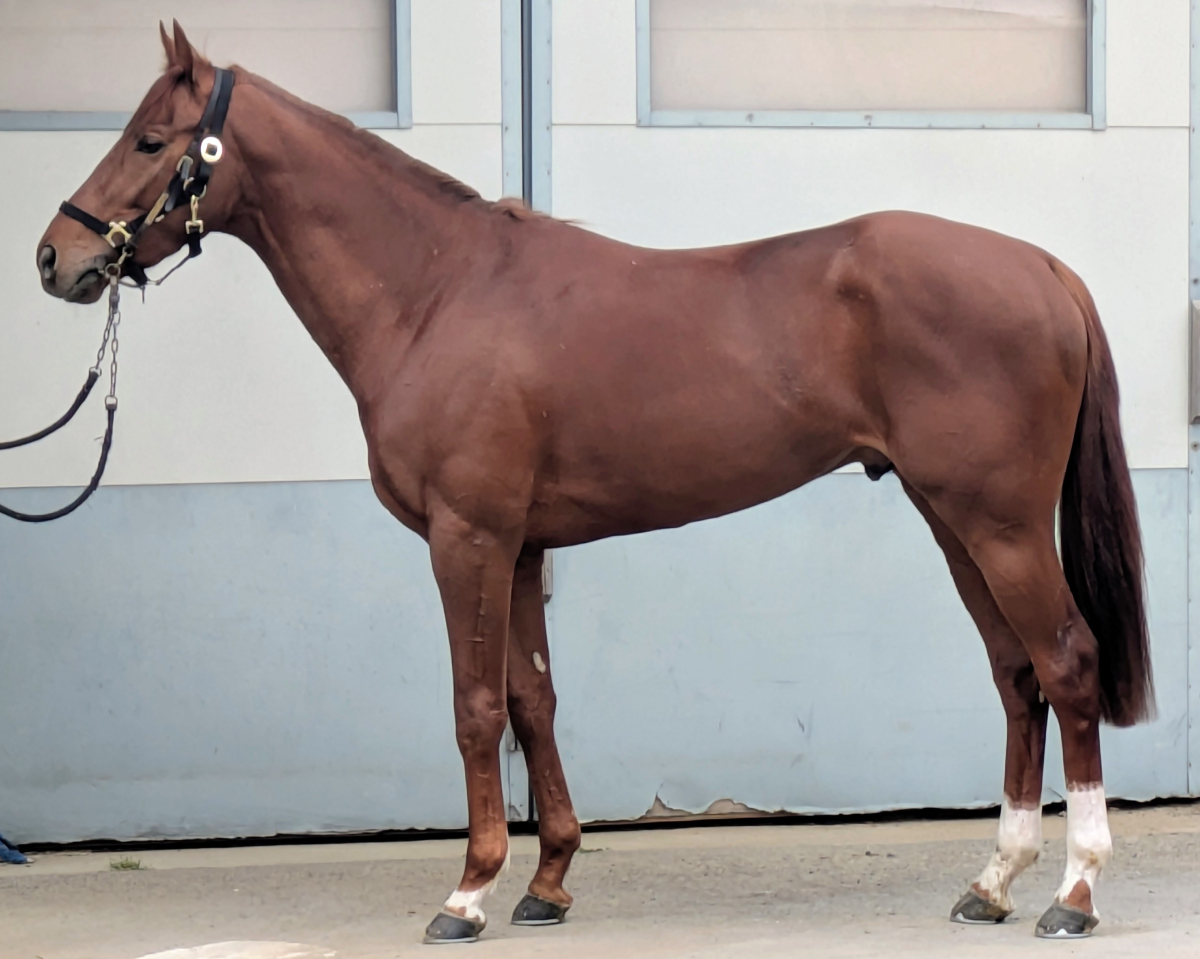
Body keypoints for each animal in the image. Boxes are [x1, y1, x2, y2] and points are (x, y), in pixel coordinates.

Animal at [35, 21, 1152, 944]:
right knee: (1014, 674)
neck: (435, 290)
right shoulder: (523, 545)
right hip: (953, 519)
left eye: (149, 139)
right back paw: (994, 882)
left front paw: (468, 891)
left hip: (1001, 524)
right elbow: (535, 697)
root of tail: (1043, 268)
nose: (56, 256)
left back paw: (1073, 892)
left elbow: (475, 705)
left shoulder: (469, 538)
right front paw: (547, 881)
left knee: (1067, 662)